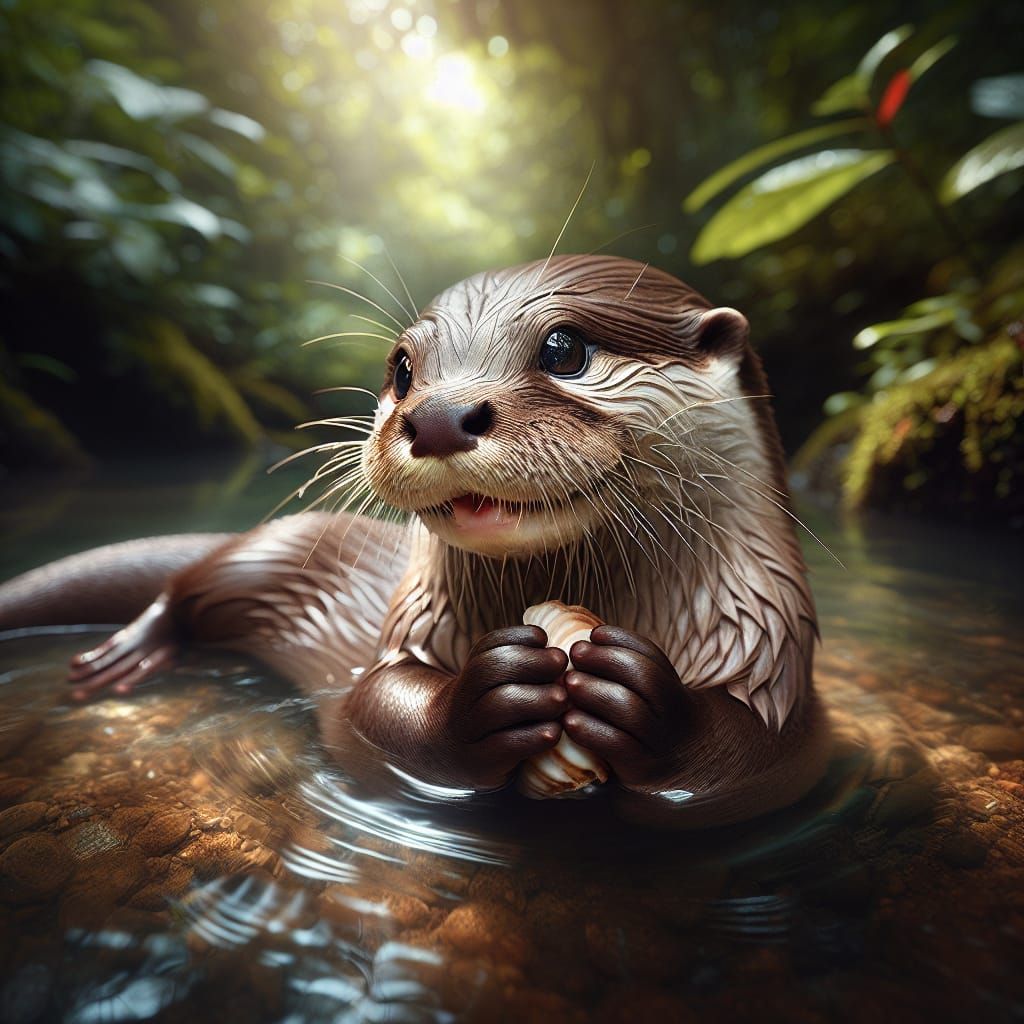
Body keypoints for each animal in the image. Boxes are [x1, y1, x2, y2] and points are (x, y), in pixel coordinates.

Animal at [0, 255, 829, 827]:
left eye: (564, 349)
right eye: (403, 368)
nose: (435, 416)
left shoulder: (767, 644)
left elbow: (755, 751)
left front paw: (647, 703)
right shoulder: (412, 626)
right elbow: (378, 707)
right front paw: (484, 695)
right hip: (265, 551)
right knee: (188, 585)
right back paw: (130, 651)